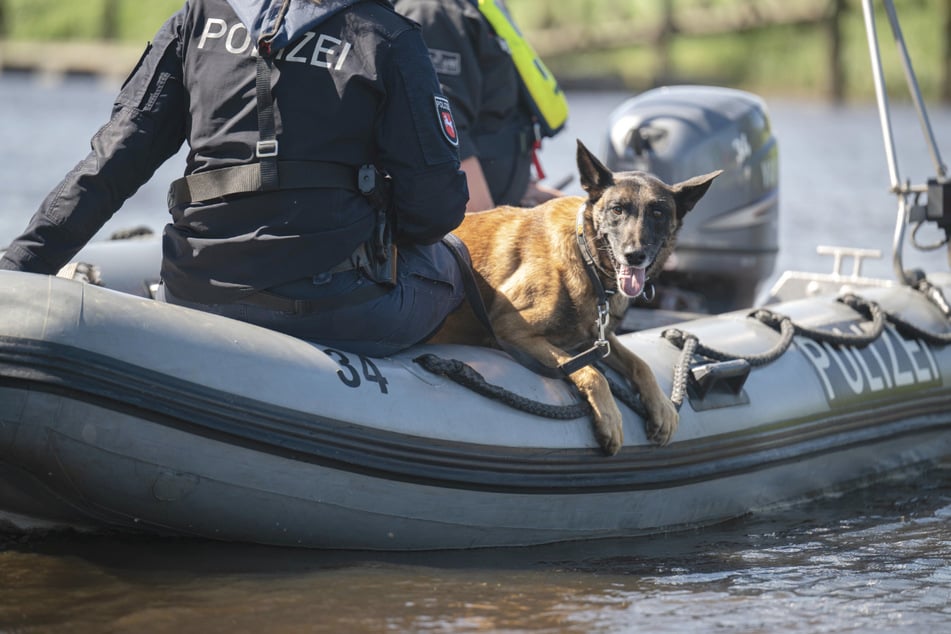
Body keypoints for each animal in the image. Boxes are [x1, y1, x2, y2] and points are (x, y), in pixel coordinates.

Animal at [428, 140, 716, 452]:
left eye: (658, 213)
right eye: (617, 210)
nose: (634, 255)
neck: (586, 256)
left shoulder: (599, 337)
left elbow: (640, 364)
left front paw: (662, 406)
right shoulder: (512, 330)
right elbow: (592, 372)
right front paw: (610, 417)